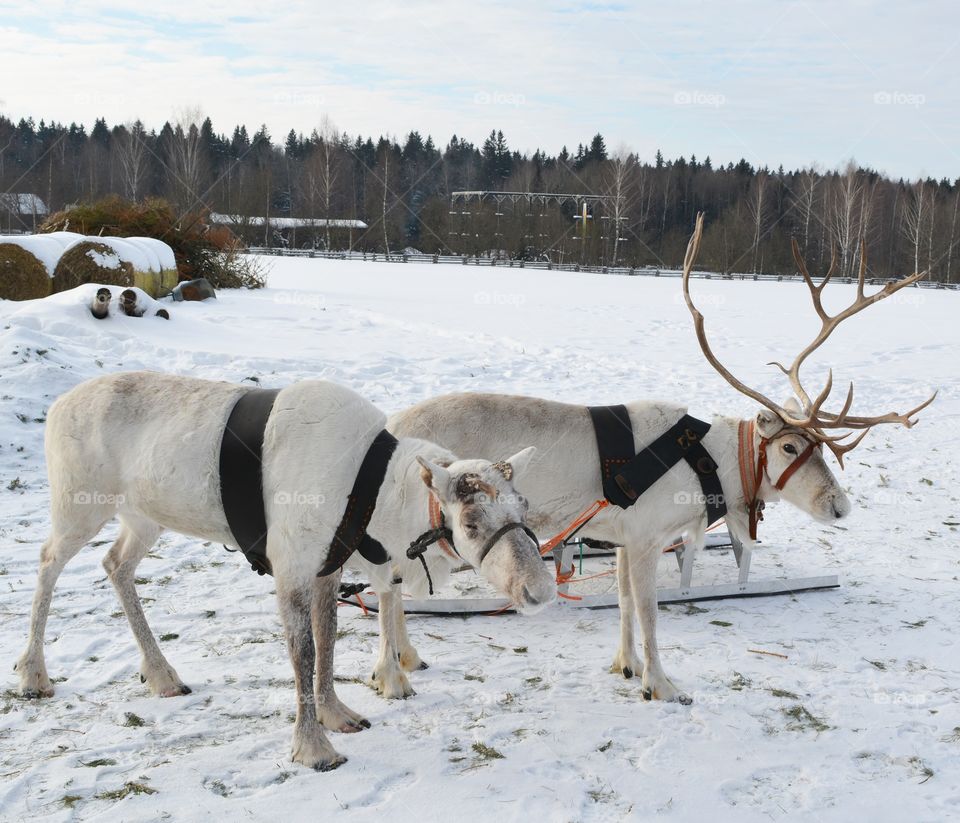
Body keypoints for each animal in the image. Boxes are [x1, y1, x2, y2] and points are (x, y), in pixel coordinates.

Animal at [14, 372, 555, 771]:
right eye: (470, 522)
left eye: (524, 506)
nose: (541, 590)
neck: (377, 497)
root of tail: (56, 406)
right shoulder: (290, 566)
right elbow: (304, 652)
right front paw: (314, 748)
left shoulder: (327, 566)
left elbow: (328, 640)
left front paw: (338, 714)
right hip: (79, 505)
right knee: (47, 562)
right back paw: (34, 672)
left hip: (145, 517)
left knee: (115, 564)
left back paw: (161, 673)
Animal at [388, 213, 935, 704]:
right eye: (789, 446)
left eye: (819, 445)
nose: (840, 506)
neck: (711, 467)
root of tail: (392, 423)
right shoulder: (648, 537)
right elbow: (650, 612)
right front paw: (660, 683)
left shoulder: (622, 539)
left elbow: (626, 603)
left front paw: (626, 664)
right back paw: (395, 674)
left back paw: (407, 660)